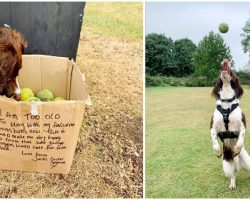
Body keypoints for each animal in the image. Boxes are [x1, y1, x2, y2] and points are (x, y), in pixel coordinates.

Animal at [210, 59, 250, 189]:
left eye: (232, 69)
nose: (225, 60)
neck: (227, 101)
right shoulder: (212, 127)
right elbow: (214, 140)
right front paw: (217, 151)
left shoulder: (243, 125)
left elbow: (240, 138)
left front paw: (236, 148)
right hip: (227, 166)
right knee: (233, 175)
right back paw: (232, 184)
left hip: (247, 160)